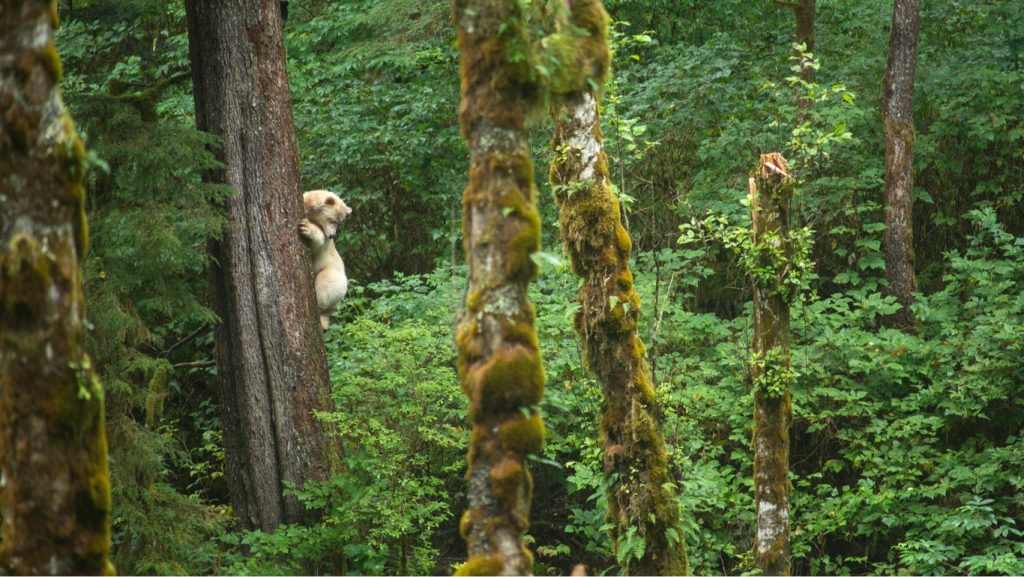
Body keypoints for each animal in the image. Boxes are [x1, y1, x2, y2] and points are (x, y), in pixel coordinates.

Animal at [299, 189, 351, 330]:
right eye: (333, 220)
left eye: (339, 222)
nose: (332, 235)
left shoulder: (324, 243)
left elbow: (318, 242)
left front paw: (306, 227)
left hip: (335, 277)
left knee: (326, 281)